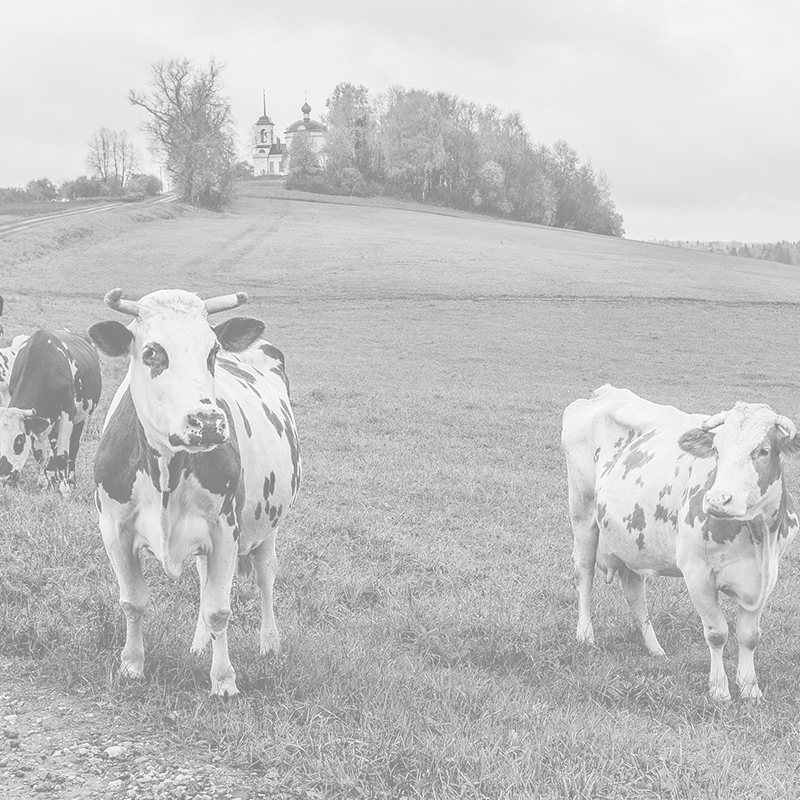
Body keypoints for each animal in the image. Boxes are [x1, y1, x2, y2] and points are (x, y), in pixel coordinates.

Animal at [0, 329, 102, 495]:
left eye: (19, 439)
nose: (4, 477)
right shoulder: (35, 420)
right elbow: (40, 453)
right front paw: (44, 481)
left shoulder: (68, 413)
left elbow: (62, 454)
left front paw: (65, 488)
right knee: (54, 446)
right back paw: (54, 476)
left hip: (81, 417)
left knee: (73, 446)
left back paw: (71, 479)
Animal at [88, 288, 301, 698]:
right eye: (151, 352)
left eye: (212, 351)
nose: (208, 422)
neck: (166, 471)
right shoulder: (114, 529)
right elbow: (132, 602)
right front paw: (132, 664)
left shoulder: (226, 530)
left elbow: (218, 609)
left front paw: (224, 679)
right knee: (204, 580)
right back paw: (201, 644)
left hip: (268, 524)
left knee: (265, 575)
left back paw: (270, 642)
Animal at [562, 384, 800, 701]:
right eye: (717, 451)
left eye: (763, 450)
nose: (717, 500)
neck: (759, 535)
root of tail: (603, 392)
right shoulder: (696, 572)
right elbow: (717, 632)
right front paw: (719, 689)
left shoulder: (765, 577)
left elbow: (749, 636)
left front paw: (750, 688)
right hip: (583, 511)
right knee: (584, 572)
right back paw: (586, 634)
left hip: (633, 537)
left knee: (634, 588)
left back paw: (654, 648)